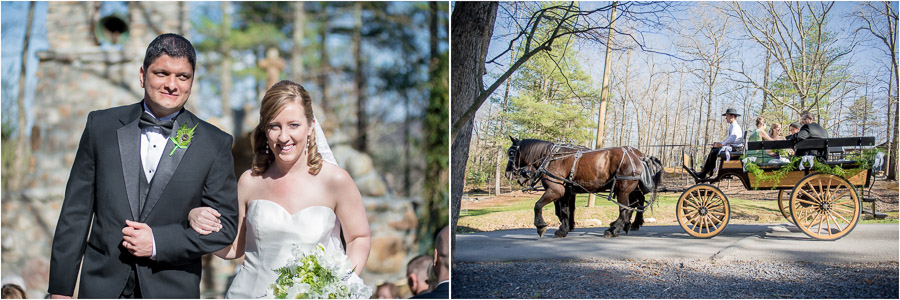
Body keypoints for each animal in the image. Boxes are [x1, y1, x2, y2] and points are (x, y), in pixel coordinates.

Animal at [502, 137, 664, 238]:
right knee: (634, 205)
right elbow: (565, 211)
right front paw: (564, 229)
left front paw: (541, 226)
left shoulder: (555, 190)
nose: (508, 174)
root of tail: (639, 156)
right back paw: (626, 225)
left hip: (623, 189)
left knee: (626, 209)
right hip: (629, 190)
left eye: (511, 152)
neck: (551, 158)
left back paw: (614, 230)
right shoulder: (566, 192)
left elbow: (538, 206)